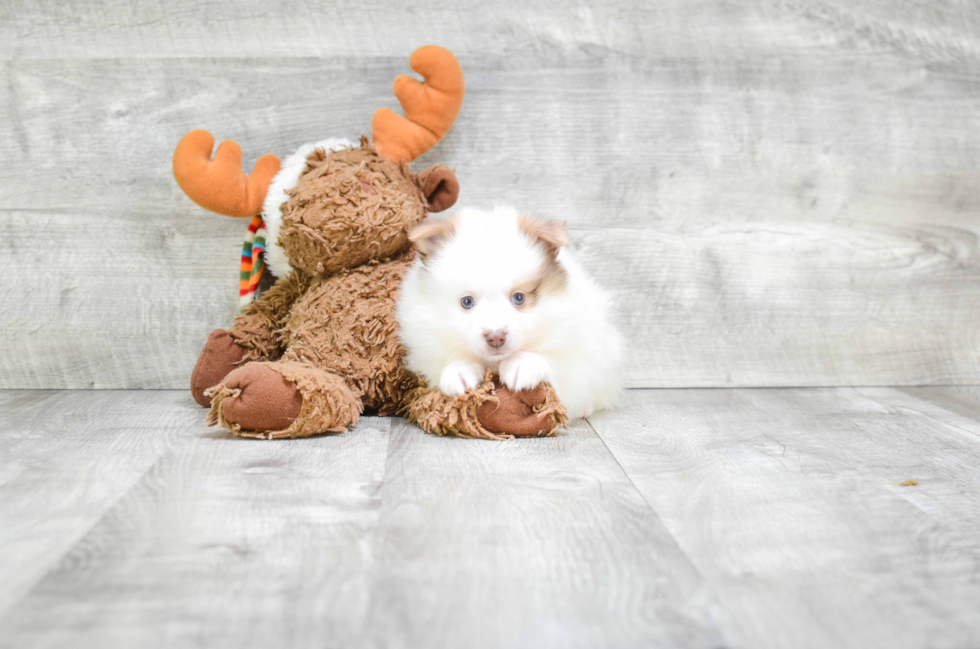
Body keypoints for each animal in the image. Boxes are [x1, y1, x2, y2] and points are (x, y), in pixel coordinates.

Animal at [394, 204, 624, 420]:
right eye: (467, 302)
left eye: (519, 298)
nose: (495, 337)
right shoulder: (427, 344)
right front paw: (459, 371)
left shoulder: (572, 355)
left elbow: (551, 364)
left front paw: (521, 365)